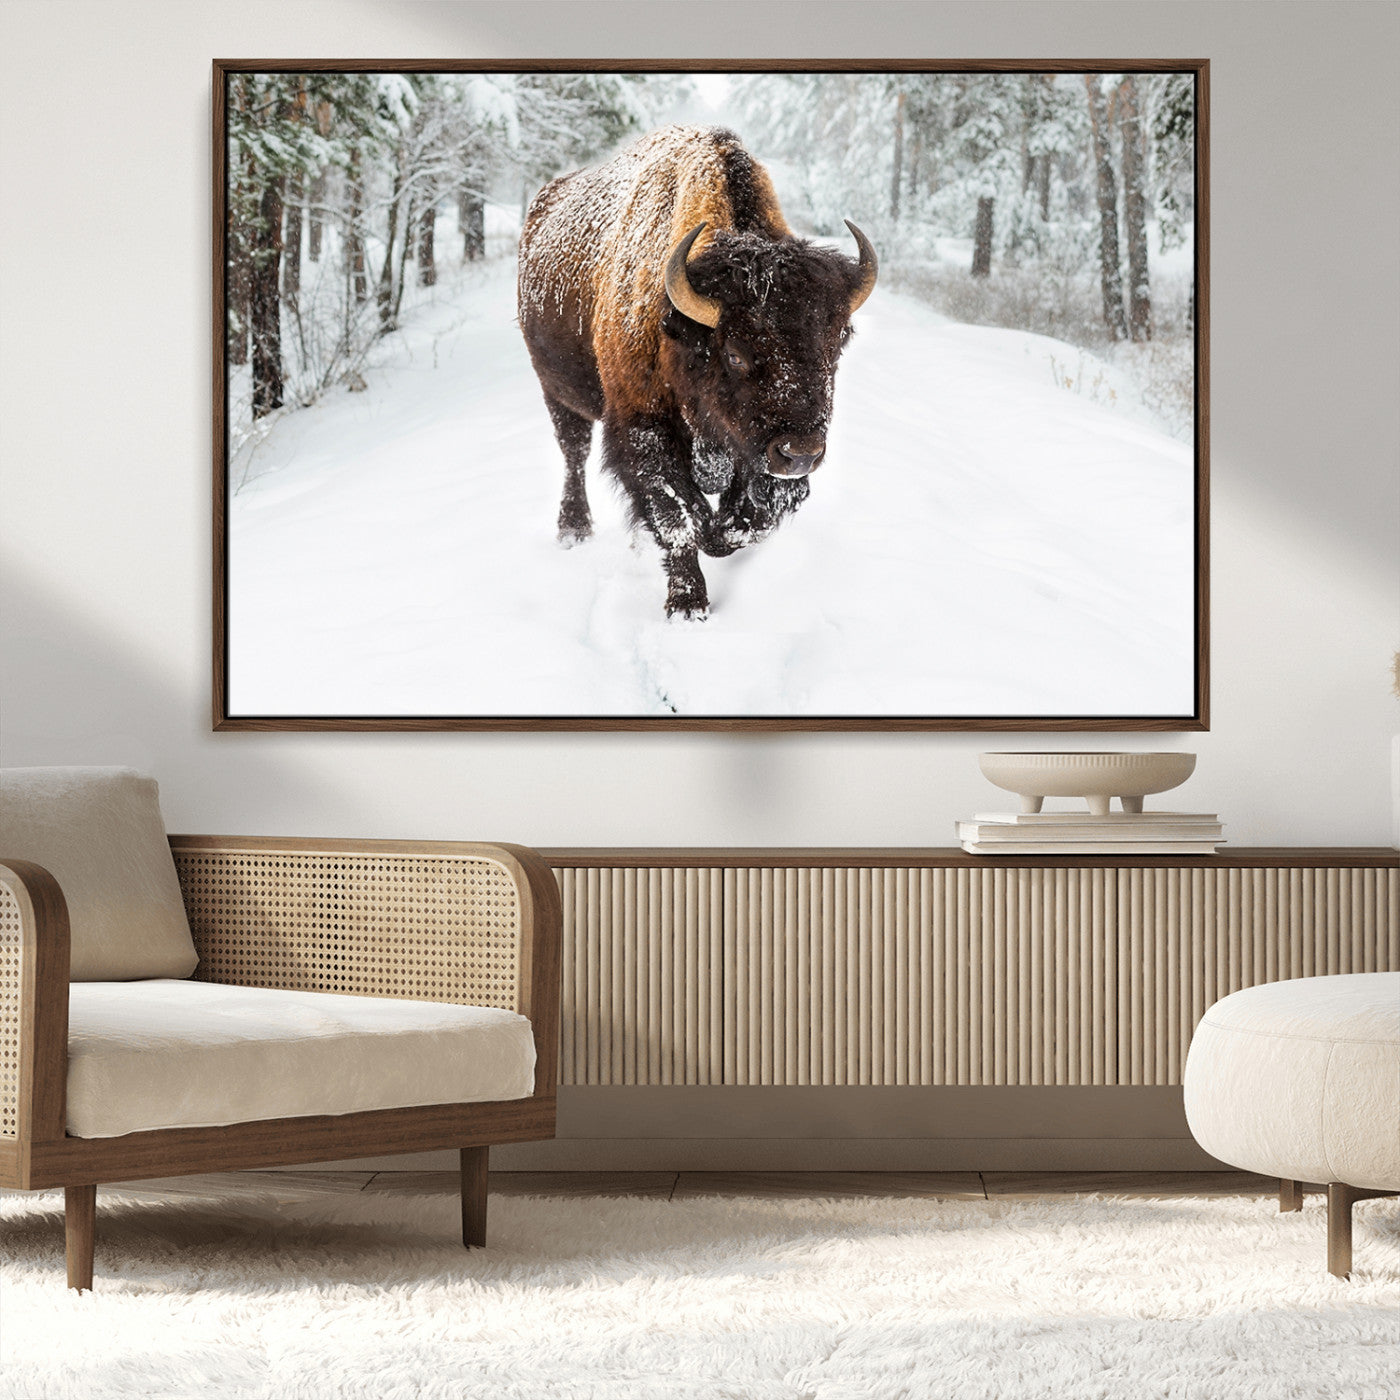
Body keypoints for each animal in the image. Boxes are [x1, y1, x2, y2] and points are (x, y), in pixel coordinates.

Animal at [517, 125, 877, 619]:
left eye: (837, 343)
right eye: (736, 354)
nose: (801, 453)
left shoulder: (753, 451)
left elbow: (749, 520)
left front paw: (719, 534)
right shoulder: (643, 429)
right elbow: (679, 518)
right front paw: (688, 605)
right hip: (556, 390)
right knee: (574, 452)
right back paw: (573, 529)